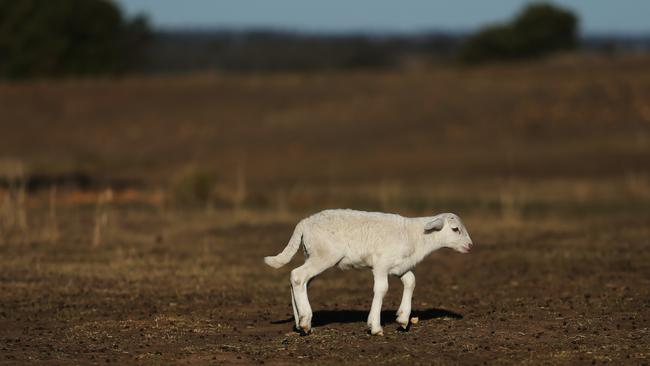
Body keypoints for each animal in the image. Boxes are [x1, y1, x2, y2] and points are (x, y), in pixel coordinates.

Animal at [264, 209, 470, 334]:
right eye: (455, 229)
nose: (470, 245)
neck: (415, 236)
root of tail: (304, 223)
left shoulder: (398, 266)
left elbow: (411, 281)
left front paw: (403, 318)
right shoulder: (381, 264)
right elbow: (382, 289)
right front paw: (375, 326)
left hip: (312, 255)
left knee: (298, 279)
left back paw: (300, 323)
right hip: (323, 255)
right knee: (298, 276)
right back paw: (306, 321)